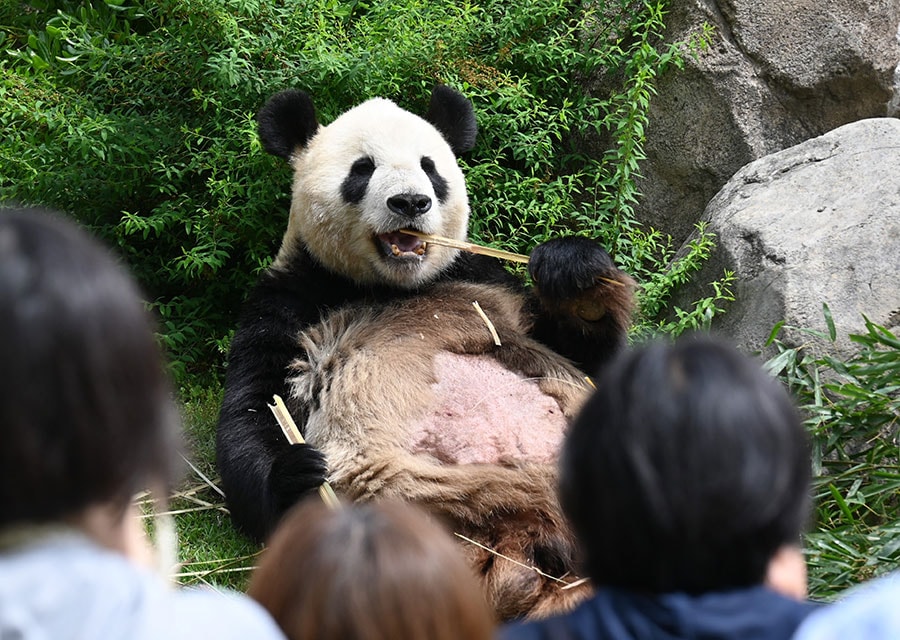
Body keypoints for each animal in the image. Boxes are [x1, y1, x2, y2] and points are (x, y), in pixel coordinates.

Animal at [218, 86, 636, 620]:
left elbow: (586, 359)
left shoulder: (481, 277)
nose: (411, 202)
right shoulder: (290, 302)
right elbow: (252, 412)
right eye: (362, 169)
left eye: (430, 168)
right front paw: (299, 473)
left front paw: (577, 279)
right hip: (442, 513)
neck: (391, 286)